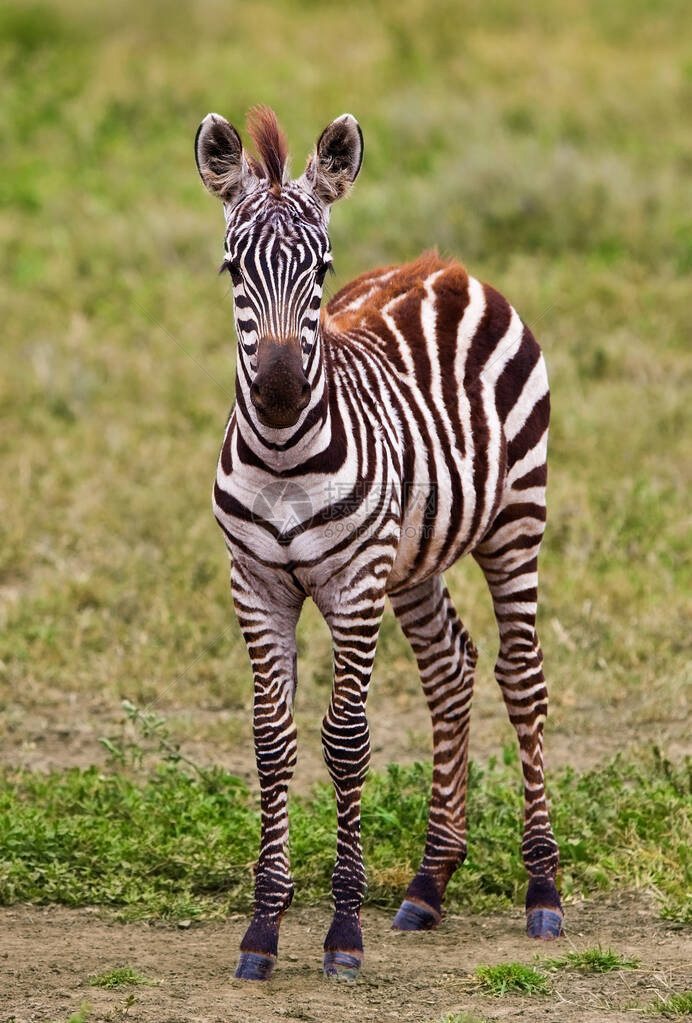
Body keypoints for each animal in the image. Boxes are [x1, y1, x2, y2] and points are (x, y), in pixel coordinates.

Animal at [193, 107, 560, 977]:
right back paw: (430, 880)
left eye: (322, 268)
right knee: (451, 668)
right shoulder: (255, 585)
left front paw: (341, 931)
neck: (284, 457)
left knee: (521, 677)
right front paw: (264, 926)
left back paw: (543, 888)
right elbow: (271, 741)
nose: (280, 391)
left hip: (515, 519)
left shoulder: (354, 586)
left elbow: (347, 741)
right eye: (232, 270)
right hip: (416, 554)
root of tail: (446, 268)